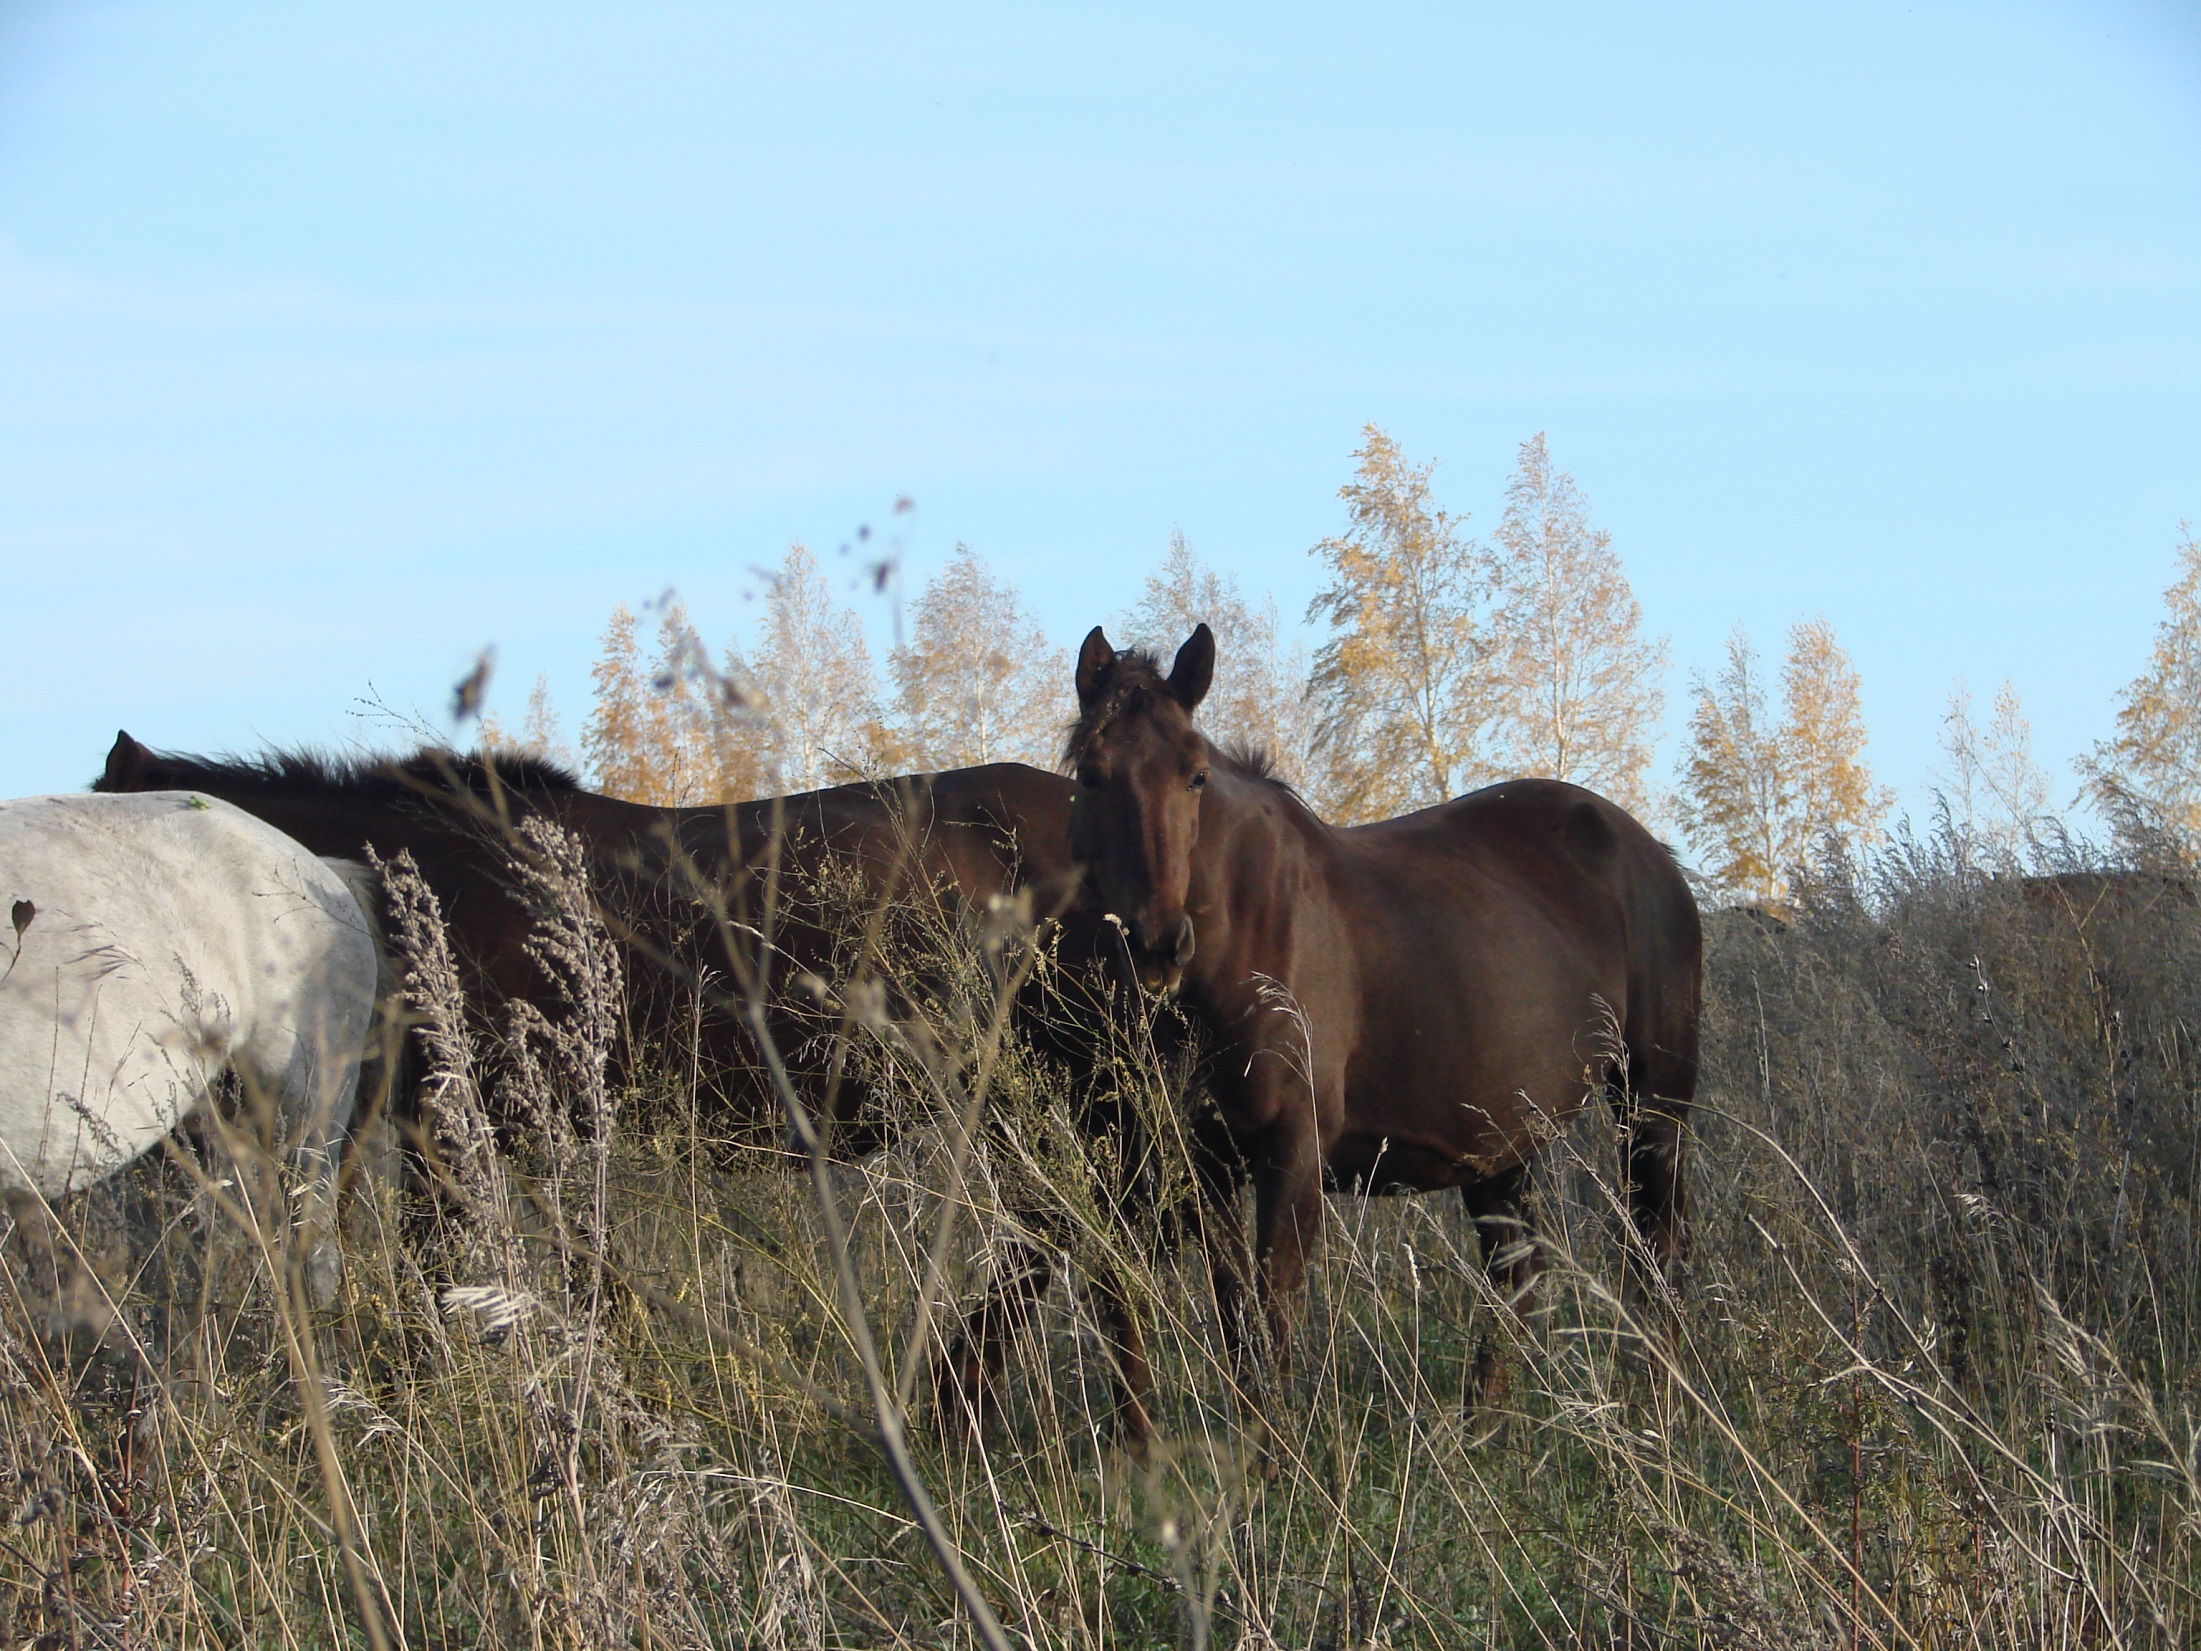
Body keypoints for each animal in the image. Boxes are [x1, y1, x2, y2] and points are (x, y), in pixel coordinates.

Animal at [1065, 625, 1699, 1400]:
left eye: (1195, 776)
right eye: (1090, 775)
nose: (1158, 943)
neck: (1244, 935)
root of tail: (1646, 851)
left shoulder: (1292, 1156)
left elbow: (1274, 1324)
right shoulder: (1208, 1162)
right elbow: (1239, 1328)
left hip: (1652, 1106)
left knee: (1655, 1260)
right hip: (1500, 1140)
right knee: (1518, 1279)